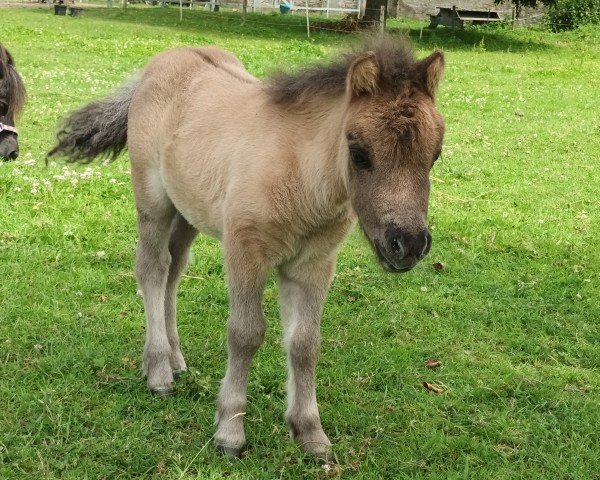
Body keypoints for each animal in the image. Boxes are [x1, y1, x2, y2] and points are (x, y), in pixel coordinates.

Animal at [49, 35, 446, 460]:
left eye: (434, 154)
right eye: (358, 152)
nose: (408, 244)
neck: (299, 173)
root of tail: (157, 65)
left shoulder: (314, 264)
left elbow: (305, 343)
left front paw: (310, 432)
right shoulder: (245, 251)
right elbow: (245, 333)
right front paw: (229, 431)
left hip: (188, 211)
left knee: (174, 270)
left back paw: (175, 359)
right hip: (153, 201)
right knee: (152, 268)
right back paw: (158, 370)